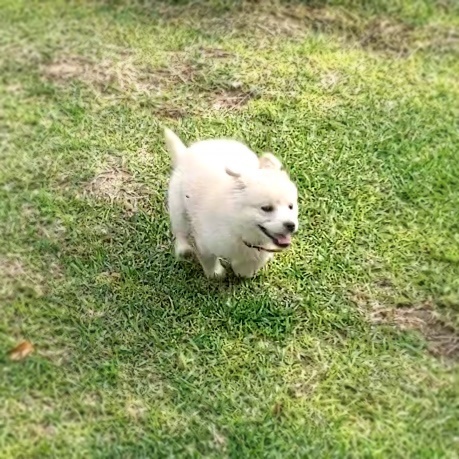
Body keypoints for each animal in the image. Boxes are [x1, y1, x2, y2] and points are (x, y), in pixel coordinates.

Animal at [165, 128, 298, 278]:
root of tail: (185, 153)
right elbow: (209, 259)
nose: (291, 225)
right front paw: (215, 273)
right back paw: (184, 249)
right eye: (266, 208)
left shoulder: (260, 251)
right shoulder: (206, 242)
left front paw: (242, 272)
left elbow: (248, 265)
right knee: (180, 230)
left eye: (291, 207)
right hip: (178, 205)